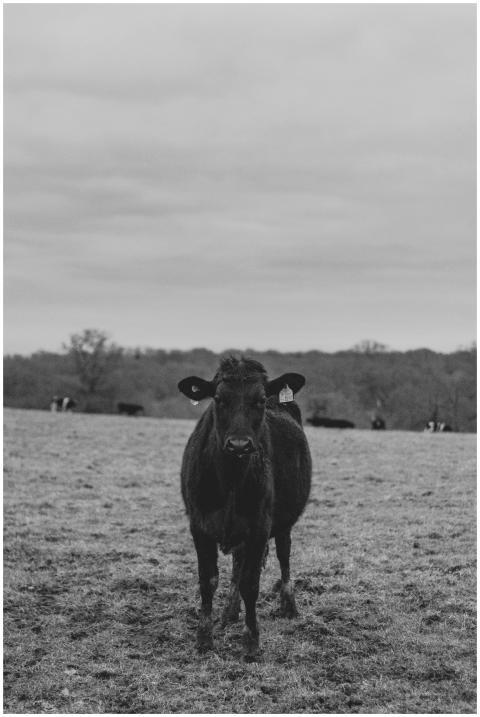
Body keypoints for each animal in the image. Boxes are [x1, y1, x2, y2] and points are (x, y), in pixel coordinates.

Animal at [178, 356, 312, 661]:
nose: (239, 444)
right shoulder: (199, 526)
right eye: (218, 398)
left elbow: (251, 583)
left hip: (282, 523)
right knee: (238, 563)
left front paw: (251, 642)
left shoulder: (259, 527)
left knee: (283, 556)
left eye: (259, 400)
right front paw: (204, 638)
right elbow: (208, 580)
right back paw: (230, 611)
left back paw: (288, 605)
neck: (230, 481)